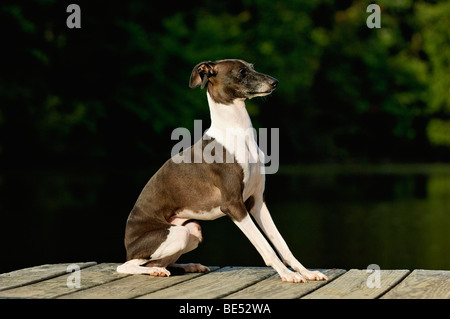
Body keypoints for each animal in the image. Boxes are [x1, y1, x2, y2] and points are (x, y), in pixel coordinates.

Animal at [116, 59, 326, 282]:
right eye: (241, 72)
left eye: (252, 66)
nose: (274, 82)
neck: (238, 134)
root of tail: (128, 244)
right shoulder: (234, 206)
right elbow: (266, 247)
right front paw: (287, 274)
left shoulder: (257, 202)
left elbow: (281, 243)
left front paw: (306, 272)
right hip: (174, 235)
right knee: (127, 265)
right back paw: (153, 270)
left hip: (193, 229)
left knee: (161, 260)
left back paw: (188, 265)